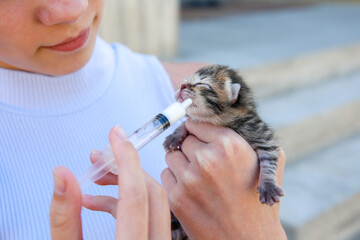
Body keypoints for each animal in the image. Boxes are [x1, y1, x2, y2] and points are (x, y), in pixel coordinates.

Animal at [165, 64, 286, 239]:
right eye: (186, 80)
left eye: (202, 84)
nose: (182, 86)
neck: (216, 119)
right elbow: (186, 122)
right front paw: (175, 136)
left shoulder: (260, 133)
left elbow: (269, 157)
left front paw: (268, 186)